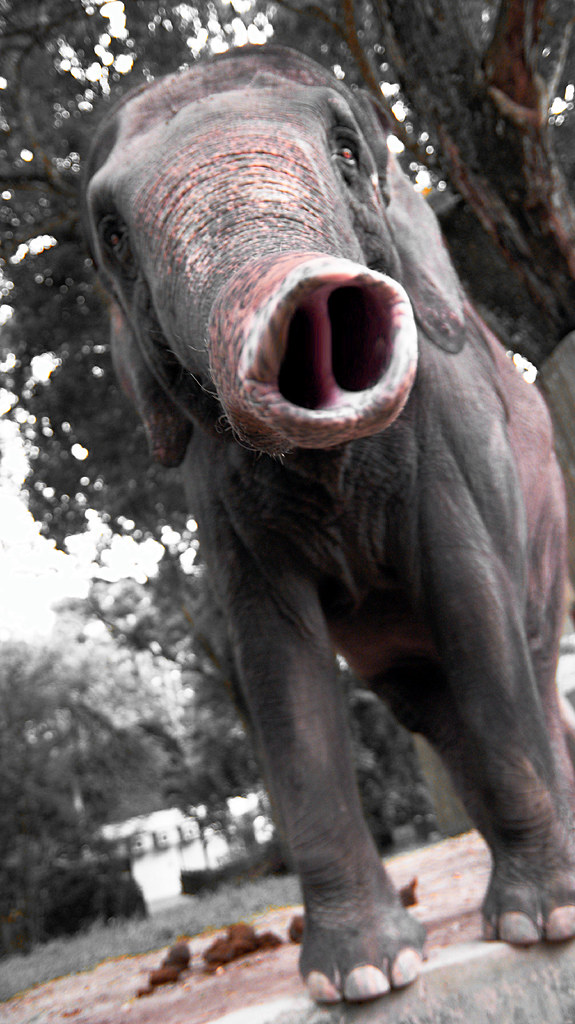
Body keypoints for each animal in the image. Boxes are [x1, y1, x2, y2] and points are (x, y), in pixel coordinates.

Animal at [83, 46, 575, 1005]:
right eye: (112, 234)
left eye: (346, 150)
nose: (302, 295)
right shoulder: (217, 496)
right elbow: (276, 661)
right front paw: (364, 976)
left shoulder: (449, 435)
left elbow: (469, 598)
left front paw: (541, 922)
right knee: (429, 706)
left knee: (525, 661)